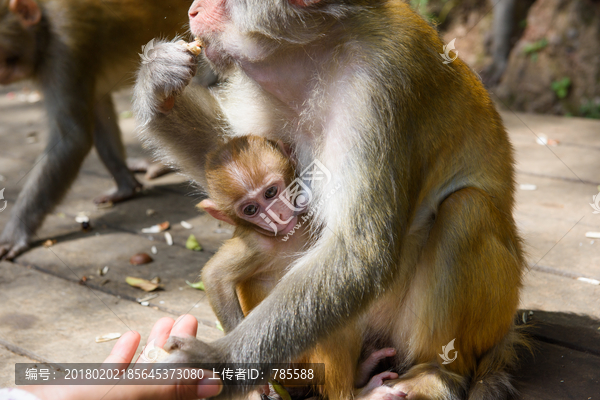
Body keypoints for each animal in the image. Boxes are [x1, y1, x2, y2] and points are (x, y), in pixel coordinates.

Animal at [135, 0, 524, 400]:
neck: (317, 49)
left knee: (467, 208)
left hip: (471, 317)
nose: (194, 9)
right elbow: (225, 150)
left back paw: (437, 373)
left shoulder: (379, 84)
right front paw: (158, 83)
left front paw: (220, 363)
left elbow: (361, 253)